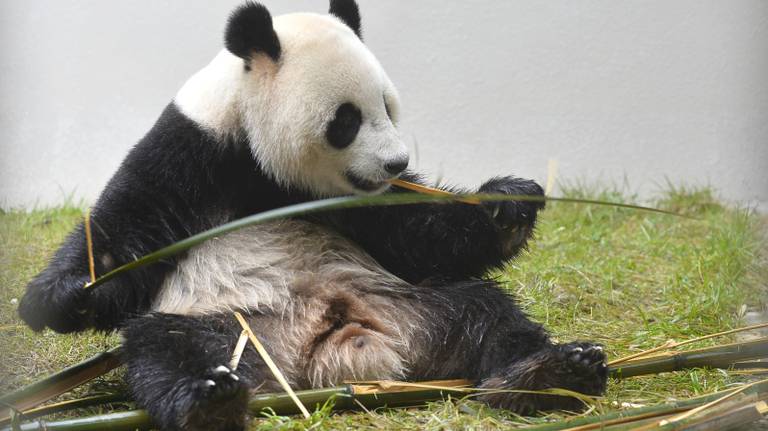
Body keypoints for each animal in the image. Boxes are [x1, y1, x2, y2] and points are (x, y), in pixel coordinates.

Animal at [18, 1, 608, 430]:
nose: (398, 163)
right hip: (227, 324)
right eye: (347, 119)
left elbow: (423, 234)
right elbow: (126, 241)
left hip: (412, 304)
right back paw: (210, 399)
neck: (258, 161)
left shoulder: (353, 203)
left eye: (388, 108)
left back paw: (549, 374)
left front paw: (510, 200)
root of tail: (333, 356)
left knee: (488, 314)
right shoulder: (188, 154)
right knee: (166, 350)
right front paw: (67, 293)